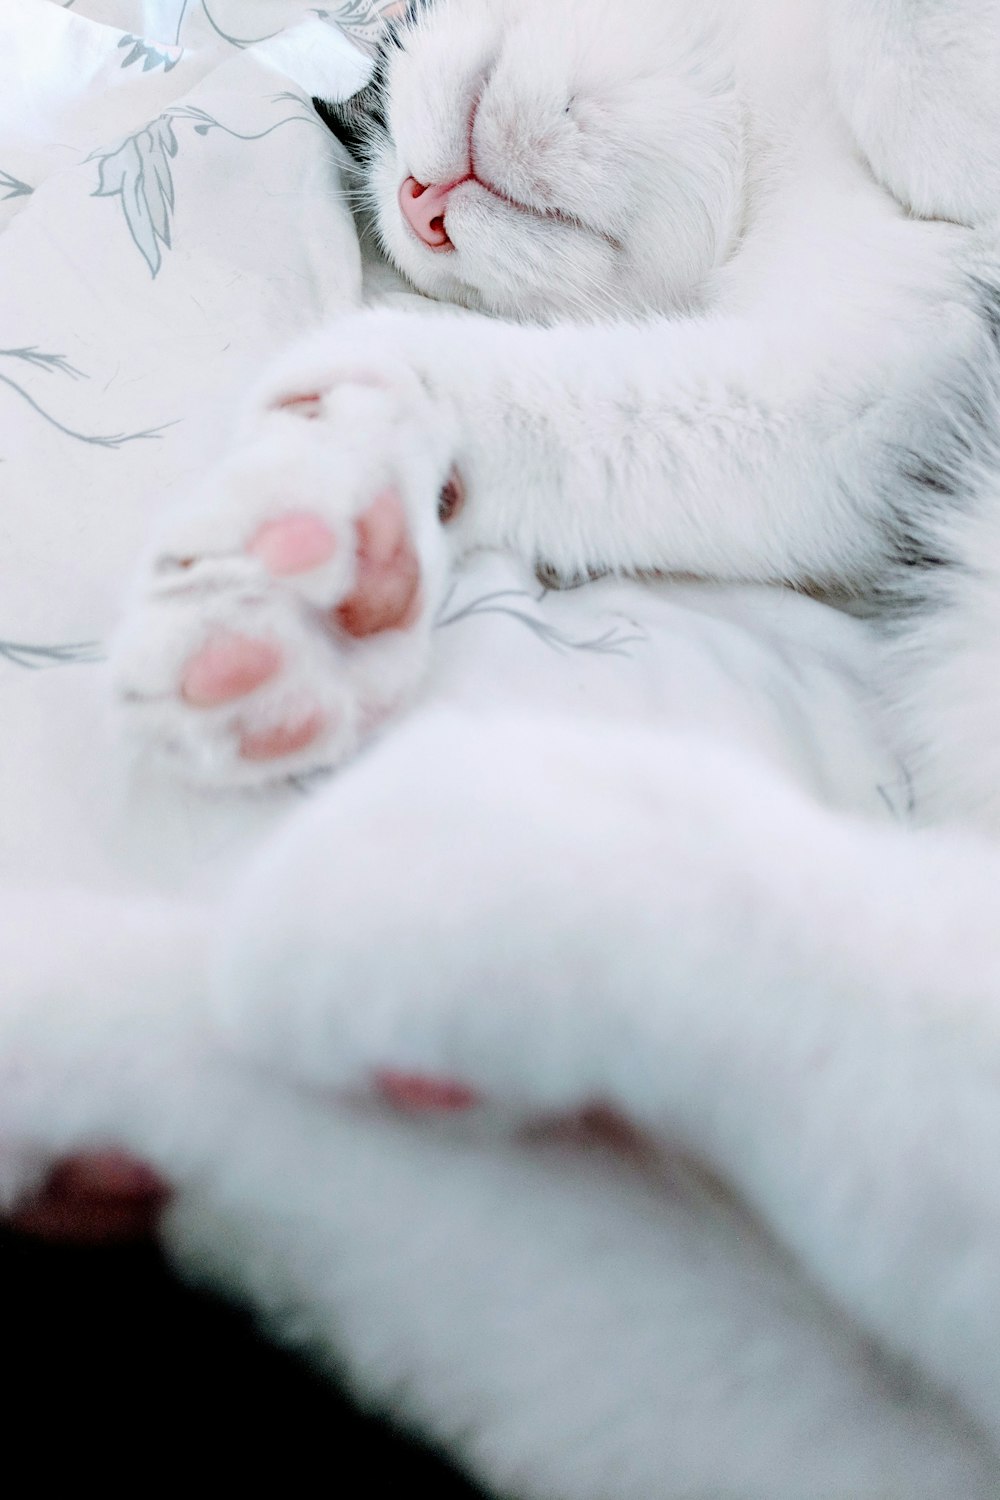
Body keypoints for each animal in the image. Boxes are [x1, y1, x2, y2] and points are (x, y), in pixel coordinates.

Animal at [113, 0, 1000, 828]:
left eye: (391, 87)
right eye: (382, 164)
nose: (416, 203)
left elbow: (905, 47)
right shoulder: (868, 391)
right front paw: (325, 540)